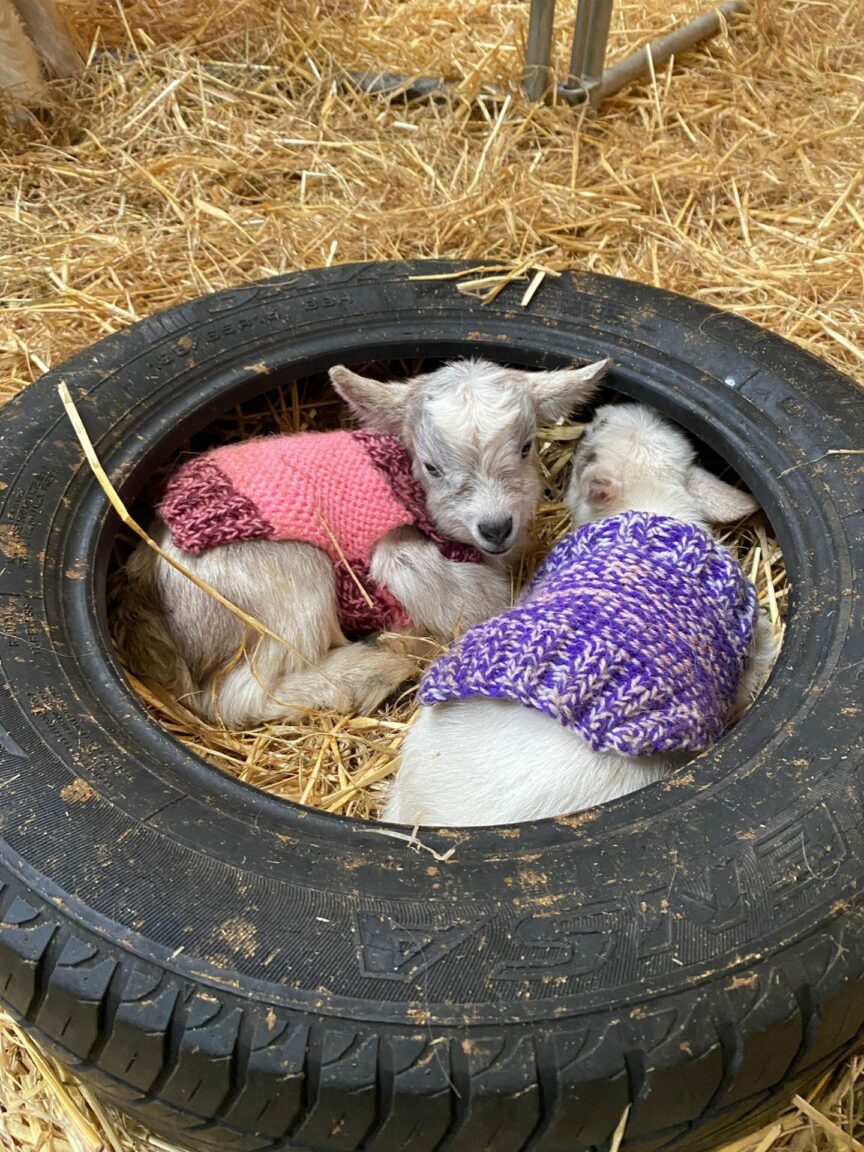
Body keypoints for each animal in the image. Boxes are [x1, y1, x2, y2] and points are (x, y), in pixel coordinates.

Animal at [117, 357, 609, 728]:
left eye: (526, 448)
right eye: (430, 466)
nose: (495, 527)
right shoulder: (398, 551)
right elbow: (469, 598)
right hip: (284, 580)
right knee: (239, 697)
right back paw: (376, 667)